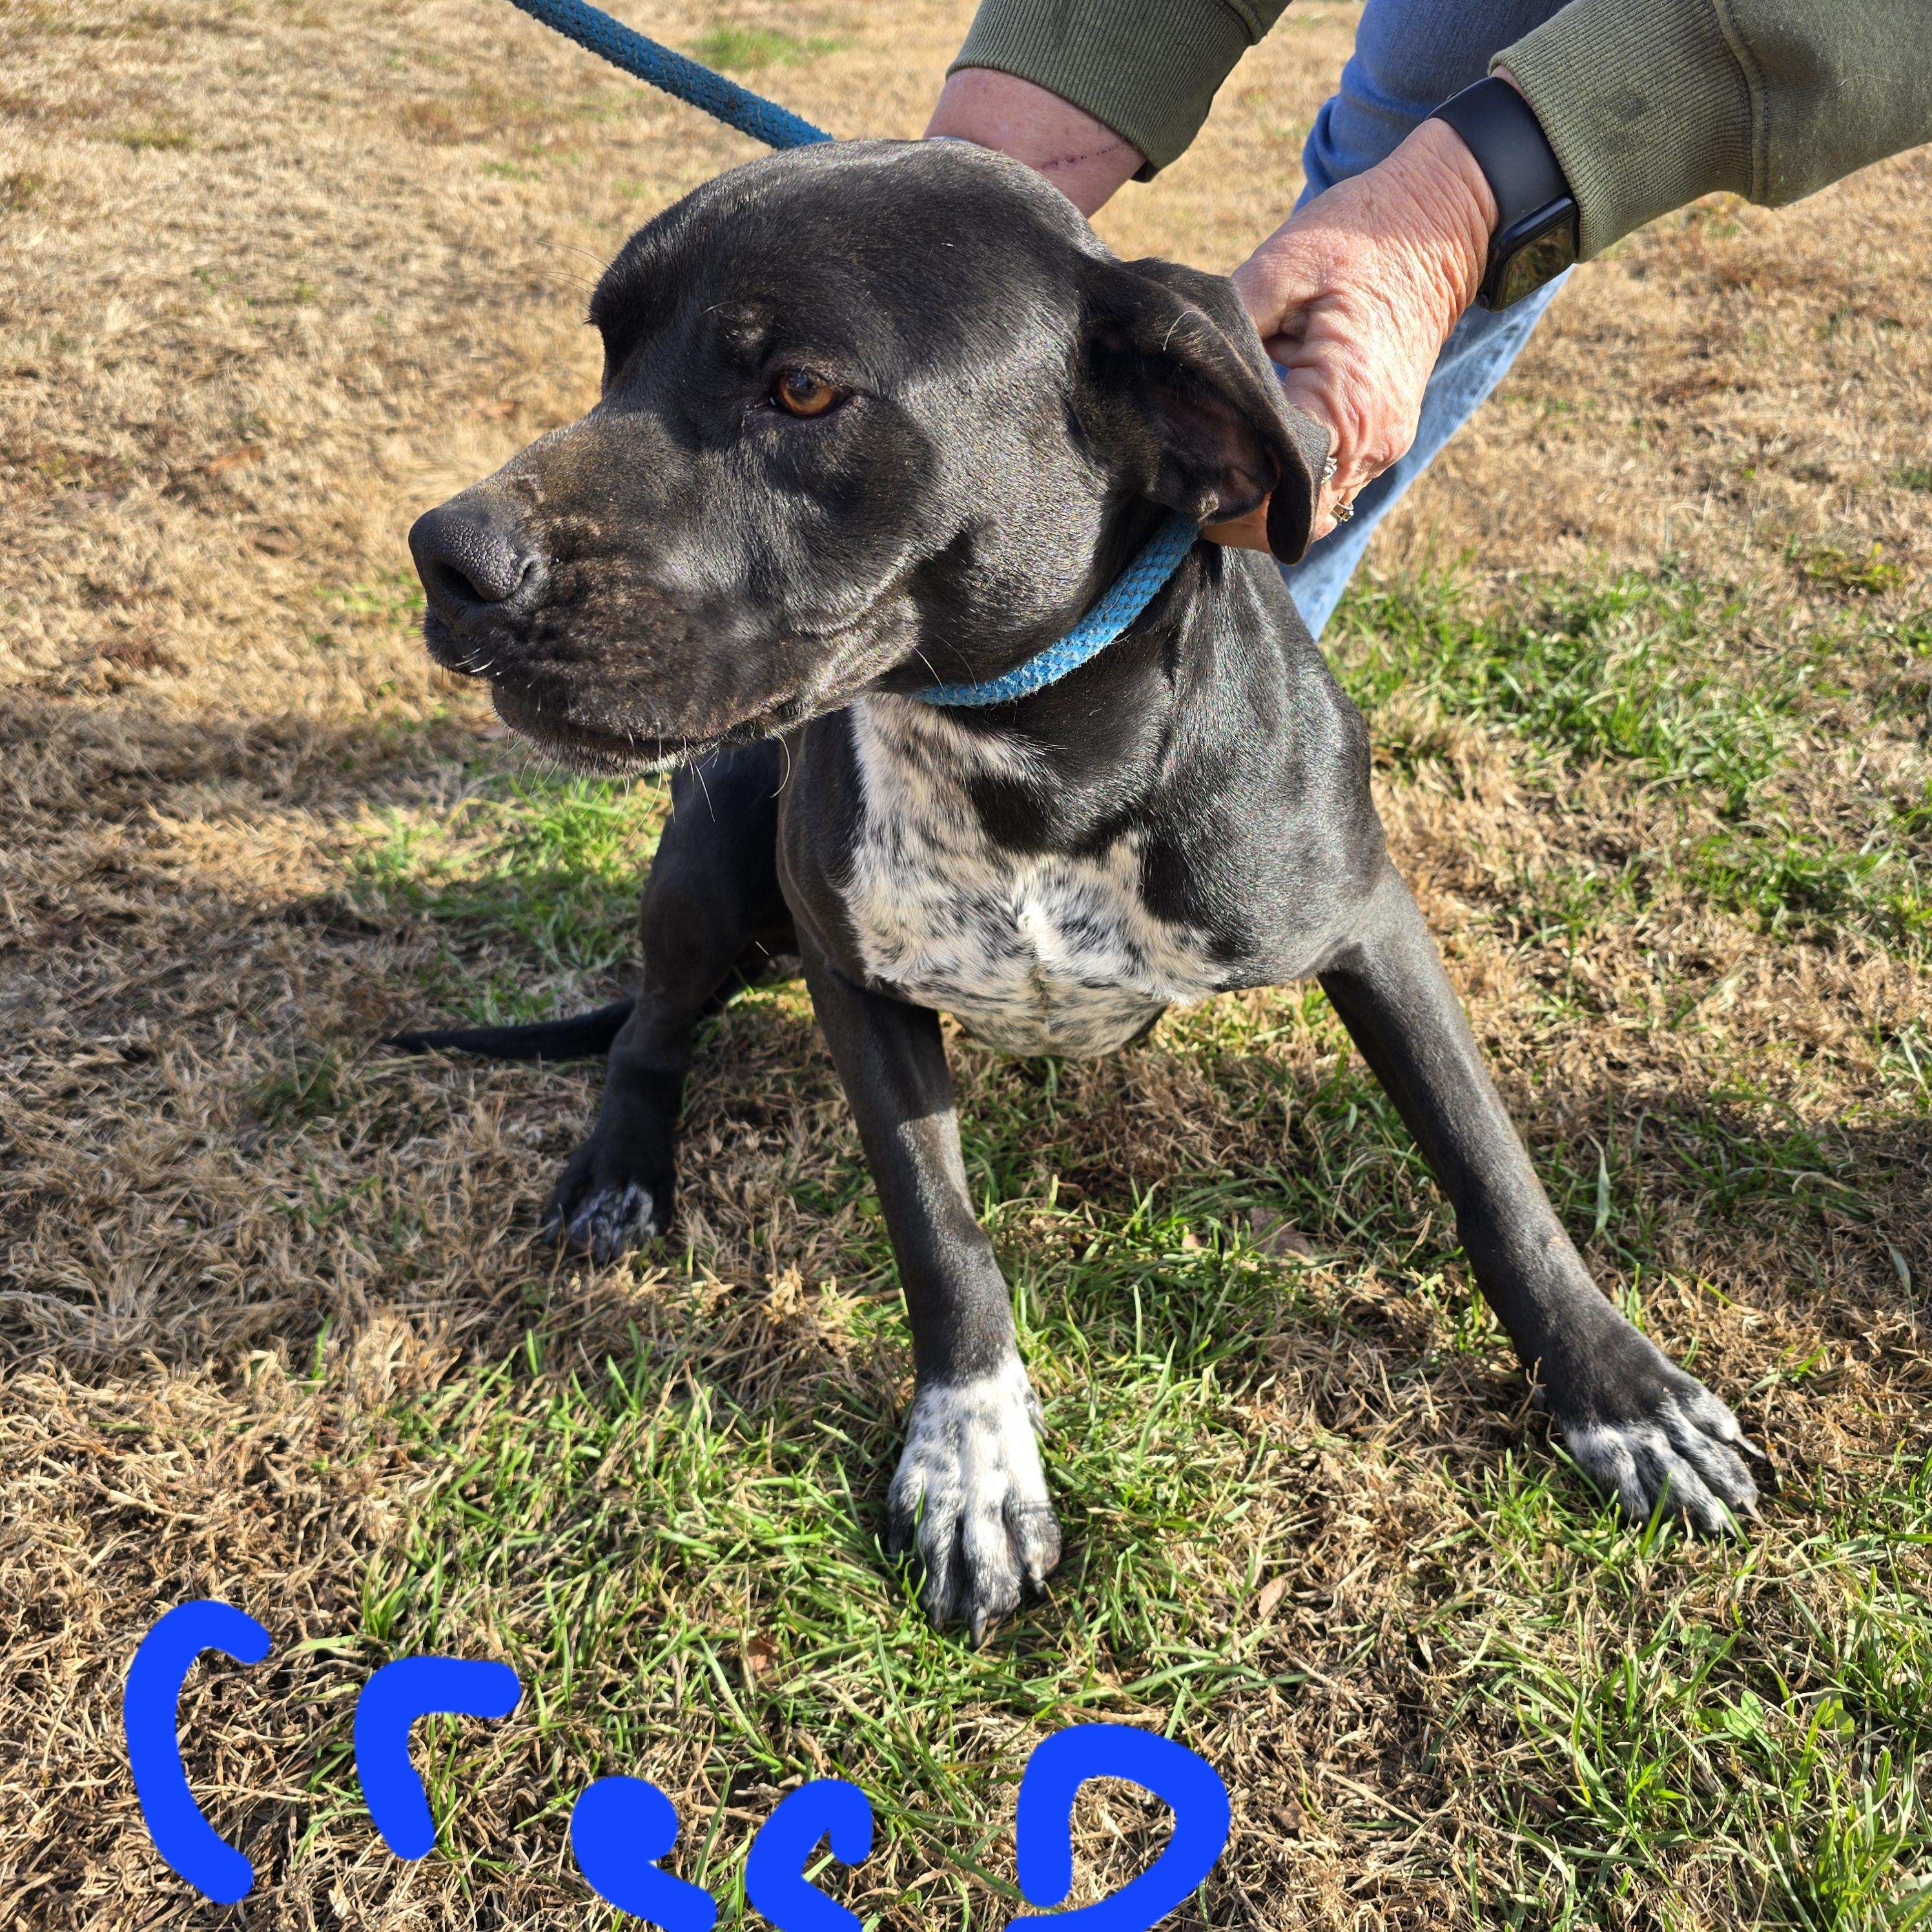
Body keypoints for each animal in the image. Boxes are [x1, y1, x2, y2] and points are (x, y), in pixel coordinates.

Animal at [392, 137, 1759, 1640]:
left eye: (800, 389)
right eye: (609, 354)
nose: (447, 554)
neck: (1019, 758)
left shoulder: (1370, 927)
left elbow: (1492, 1172)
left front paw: (1616, 1394)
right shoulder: (851, 971)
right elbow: (939, 1234)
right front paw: (973, 1461)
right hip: (712, 859)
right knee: (647, 1026)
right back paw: (619, 1171)